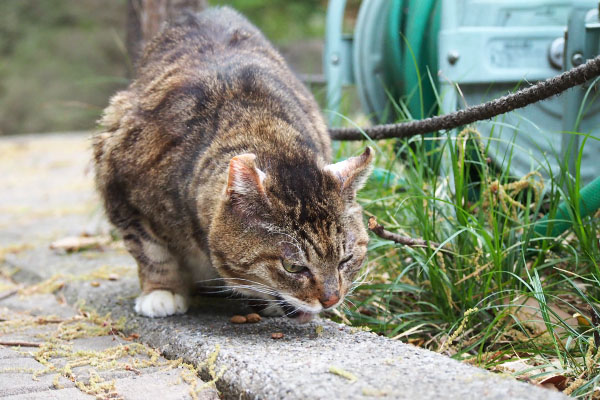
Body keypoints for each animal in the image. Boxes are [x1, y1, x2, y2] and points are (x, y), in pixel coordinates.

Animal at [92, 7, 372, 322]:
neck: (259, 127)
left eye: (346, 260)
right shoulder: (118, 184)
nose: (331, 299)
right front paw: (162, 291)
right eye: (293, 266)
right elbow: (150, 250)